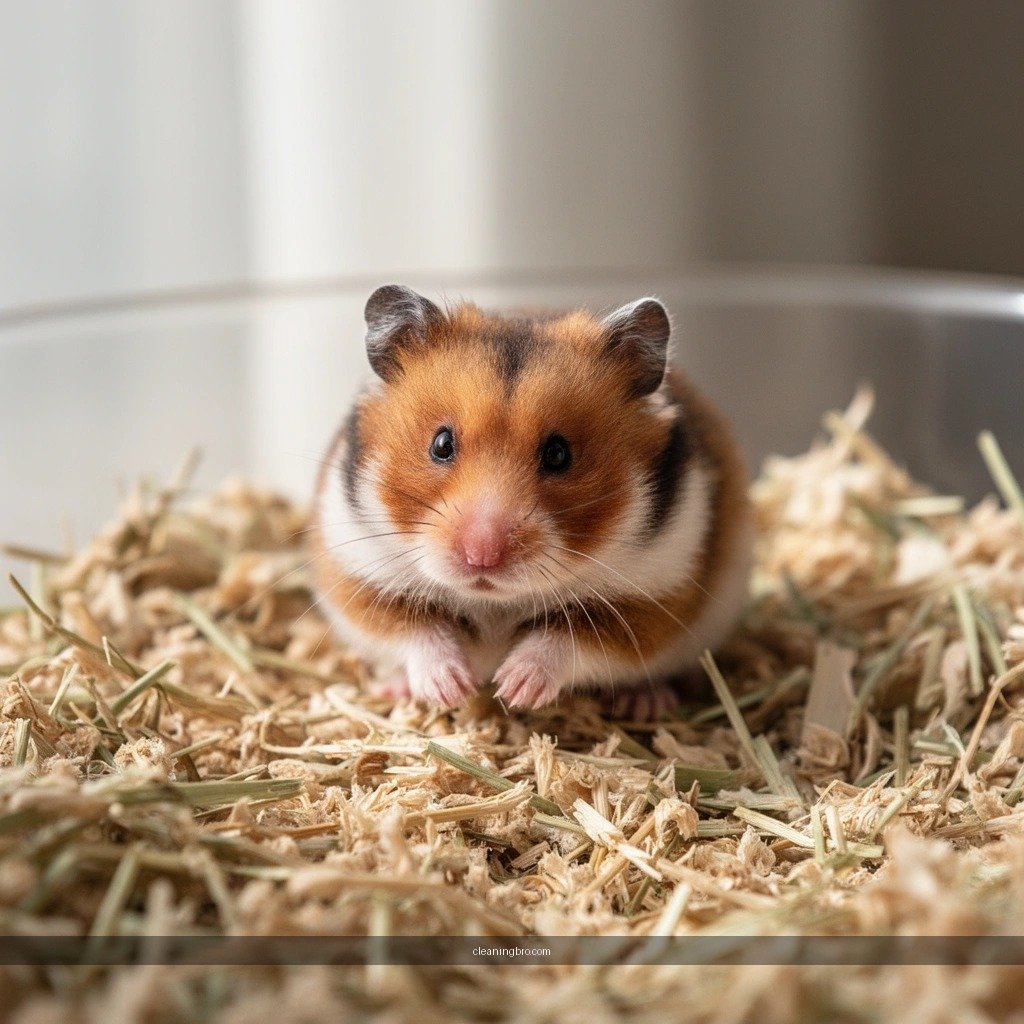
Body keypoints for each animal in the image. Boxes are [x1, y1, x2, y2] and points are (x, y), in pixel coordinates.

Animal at [311, 284, 752, 718]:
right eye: (441, 444)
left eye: (558, 454)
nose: (482, 556)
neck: (495, 603)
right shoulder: (358, 577)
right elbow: (414, 631)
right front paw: (453, 689)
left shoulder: (654, 596)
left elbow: (570, 640)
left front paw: (513, 688)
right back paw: (395, 689)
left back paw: (645, 704)